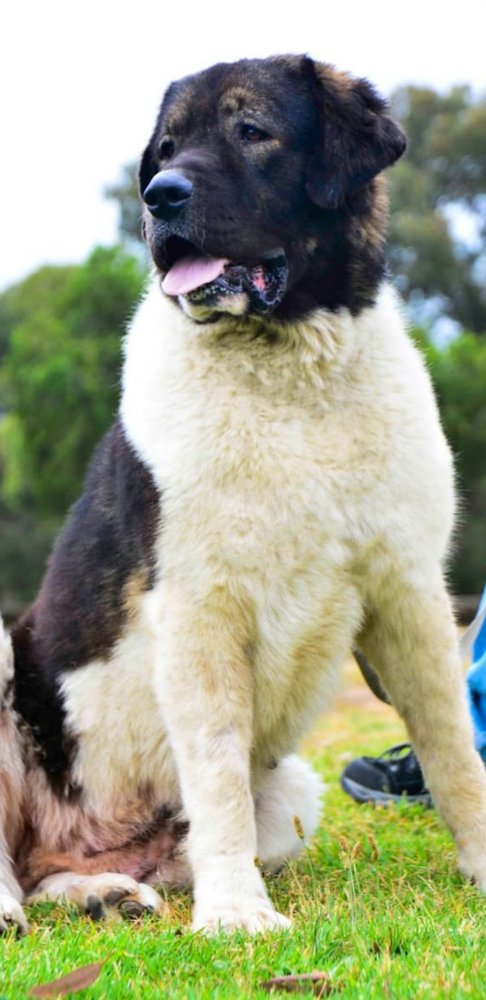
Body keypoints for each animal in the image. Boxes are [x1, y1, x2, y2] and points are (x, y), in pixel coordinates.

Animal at [0, 54, 486, 932]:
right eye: (164, 149)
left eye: (250, 130)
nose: (161, 195)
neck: (290, 368)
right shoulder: (200, 610)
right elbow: (218, 767)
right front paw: (235, 916)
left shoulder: (409, 593)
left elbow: (454, 751)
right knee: (10, 868)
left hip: (295, 791)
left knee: (53, 871)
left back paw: (102, 894)